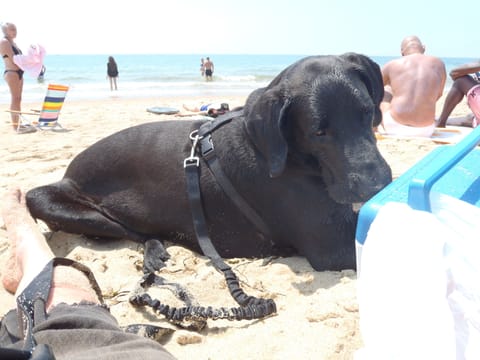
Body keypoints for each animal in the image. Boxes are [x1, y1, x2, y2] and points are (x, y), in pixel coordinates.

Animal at [26, 52, 392, 272]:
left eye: (367, 113)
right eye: (318, 132)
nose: (377, 183)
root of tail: (68, 172)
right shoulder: (332, 243)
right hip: (47, 201)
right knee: (132, 232)